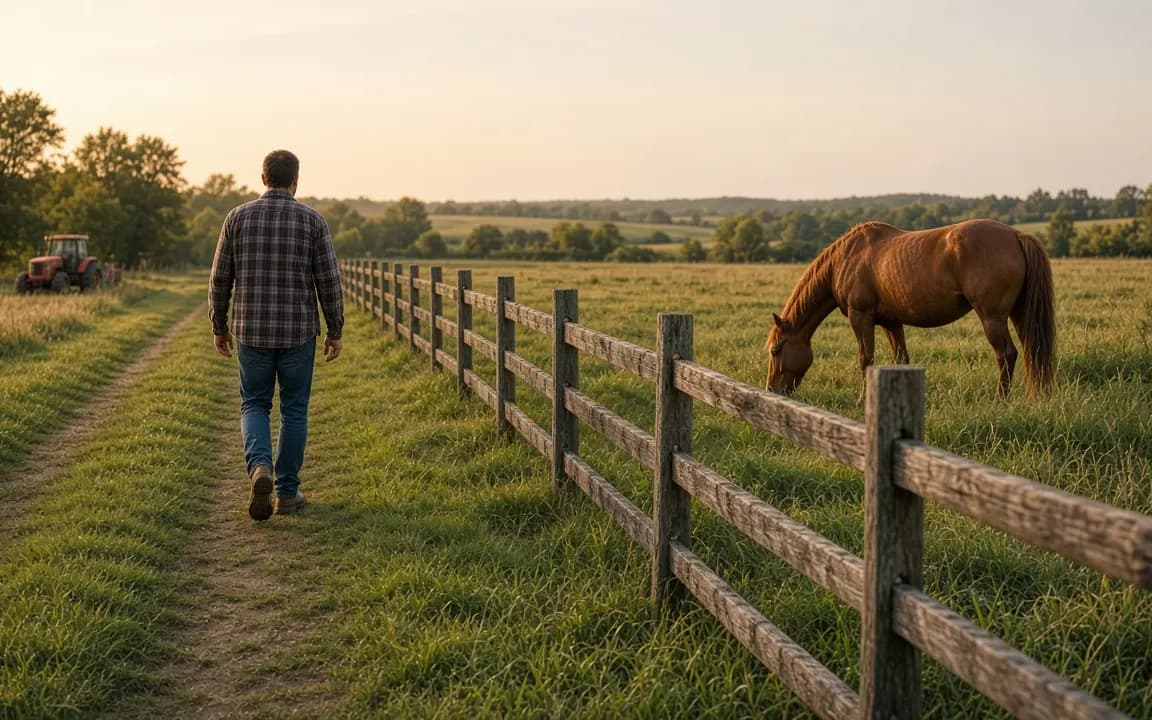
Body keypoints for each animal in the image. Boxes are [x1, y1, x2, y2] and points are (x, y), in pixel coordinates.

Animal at [764, 219, 1055, 398]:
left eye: (776, 350)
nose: (771, 390)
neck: (844, 259)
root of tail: (1016, 235)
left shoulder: (861, 316)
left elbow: (865, 359)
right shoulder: (891, 322)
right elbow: (900, 359)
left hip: (992, 318)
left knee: (1006, 354)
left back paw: (1000, 399)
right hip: (1019, 314)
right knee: (1032, 352)